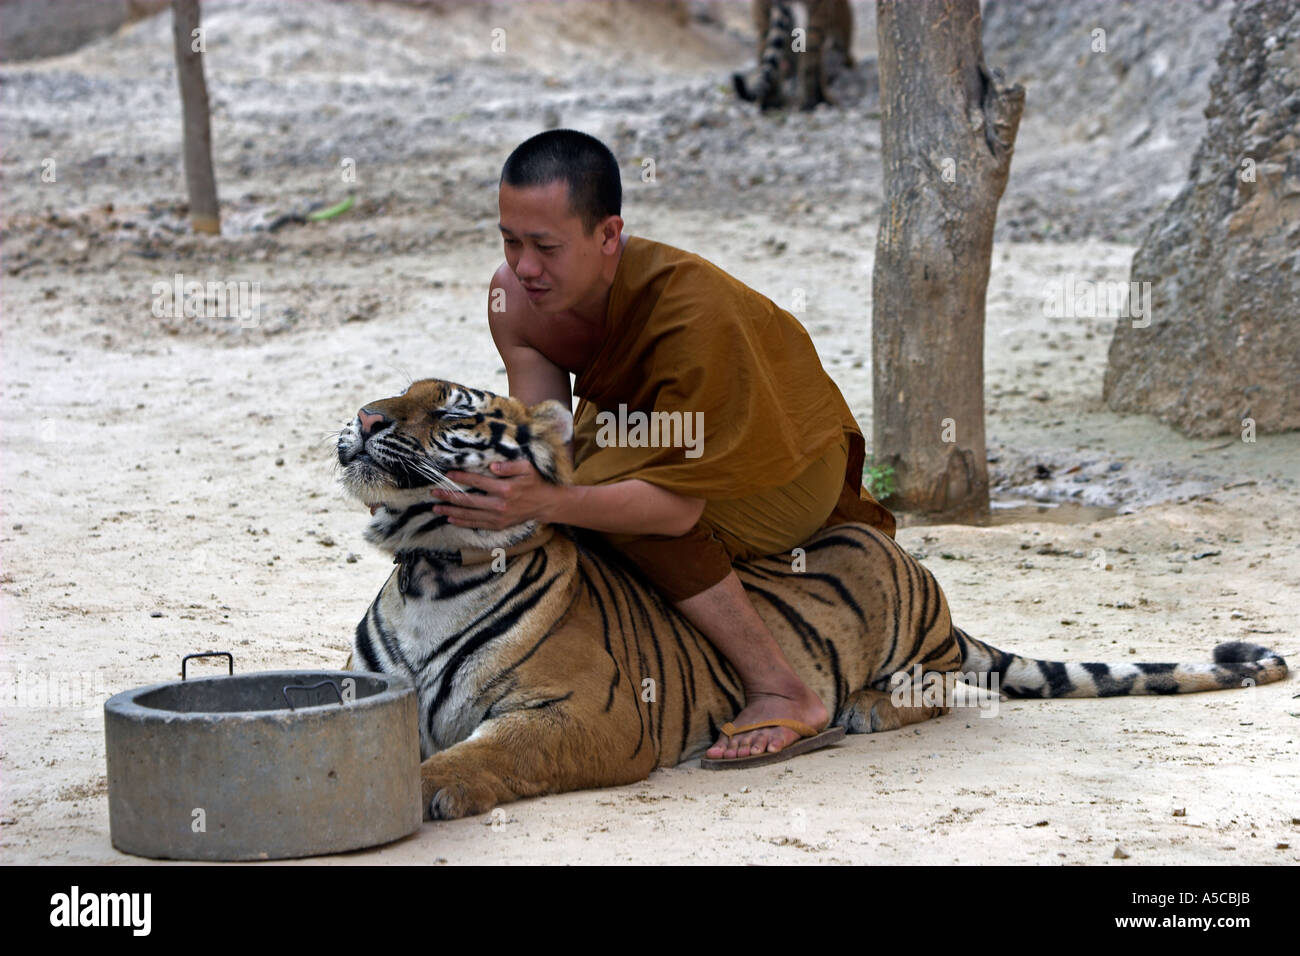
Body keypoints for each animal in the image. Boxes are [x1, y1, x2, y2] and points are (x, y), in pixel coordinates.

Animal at [335, 378, 1289, 821]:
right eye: (396, 396)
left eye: (452, 413)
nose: (365, 418)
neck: (430, 569)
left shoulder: (590, 714)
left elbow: (486, 753)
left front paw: (428, 787)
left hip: (908, 630)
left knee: (945, 687)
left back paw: (865, 707)